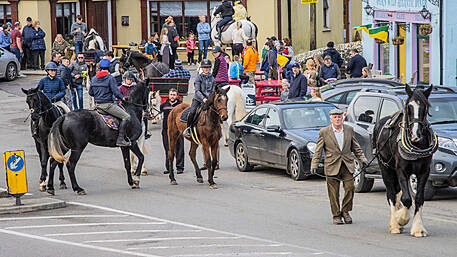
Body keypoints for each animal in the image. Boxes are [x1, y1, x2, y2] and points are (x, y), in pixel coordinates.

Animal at [372, 85, 436, 237]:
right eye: (409, 107)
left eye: (425, 107)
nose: (415, 135)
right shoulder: (401, 170)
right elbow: (406, 199)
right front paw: (401, 219)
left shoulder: (424, 172)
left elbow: (418, 199)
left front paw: (418, 228)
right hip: (386, 168)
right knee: (391, 195)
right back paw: (394, 225)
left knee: (396, 193)